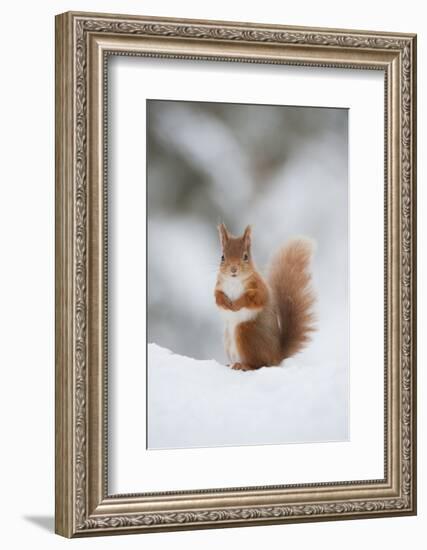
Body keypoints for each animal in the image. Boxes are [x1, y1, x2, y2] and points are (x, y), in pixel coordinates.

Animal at [216, 223, 316, 370]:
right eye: (222, 257)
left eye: (245, 256)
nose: (233, 269)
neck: (234, 281)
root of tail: (276, 356)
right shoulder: (218, 286)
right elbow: (217, 298)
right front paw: (226, 303)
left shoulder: (259, 288)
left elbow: (254, 299)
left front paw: (237, 304)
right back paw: (232, 363)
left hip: (245, 332)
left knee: (259, 364)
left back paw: (244, 365)